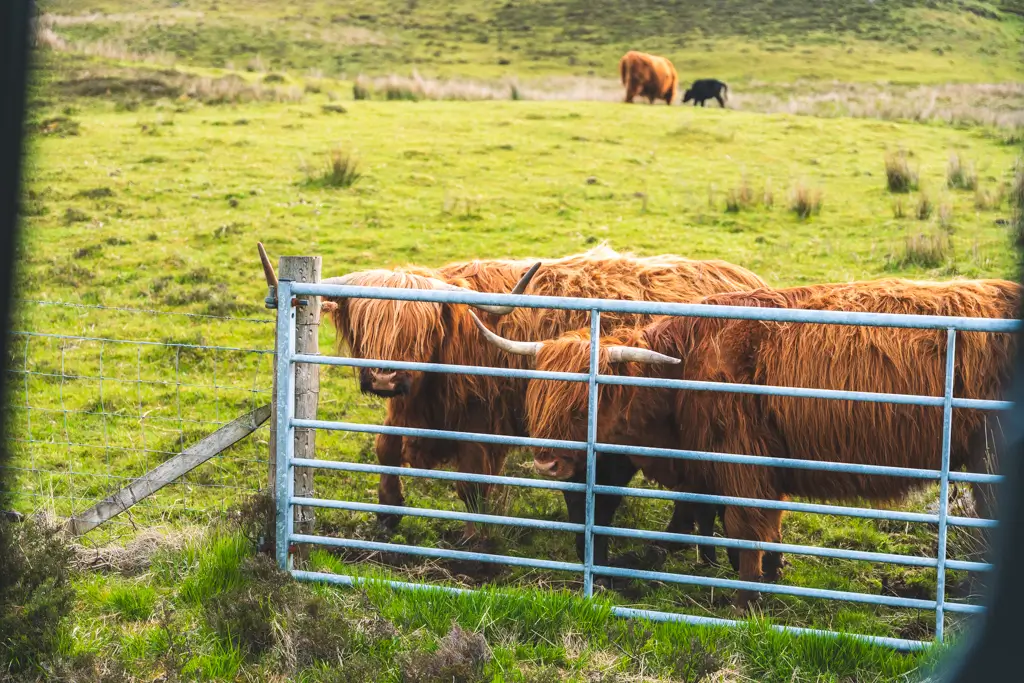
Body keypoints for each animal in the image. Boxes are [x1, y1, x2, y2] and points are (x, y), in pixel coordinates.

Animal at [257, 243, 767, 546]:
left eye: (420, 327)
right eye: (367, 323)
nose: (383, 378)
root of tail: (748, 279)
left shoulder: (480, 423)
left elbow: (471, 481)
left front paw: (474, 538)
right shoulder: (409, 407)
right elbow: (385, 448)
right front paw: (388, 512)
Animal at [472, 278, 1019, 608]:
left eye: (583, 403)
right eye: (540, 398)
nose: (546, 463)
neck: (682, 374)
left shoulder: (742, 463)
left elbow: (745, 528)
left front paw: (745, 601)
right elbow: (765, 528)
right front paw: (770, 577)